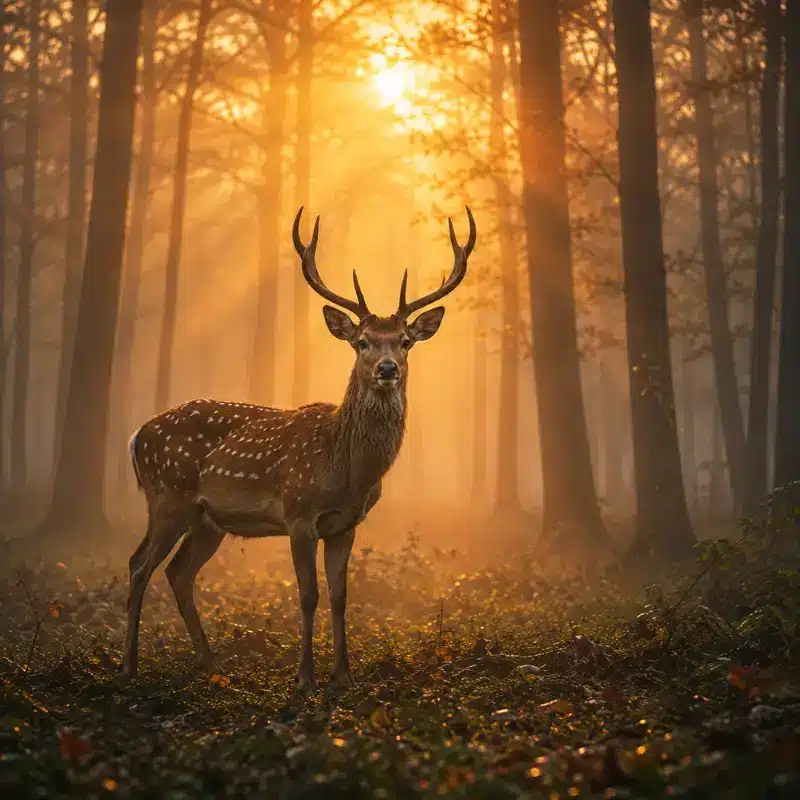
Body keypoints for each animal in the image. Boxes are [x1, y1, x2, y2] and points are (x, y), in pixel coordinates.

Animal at [121, 206, 476, 690]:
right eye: (361, 342)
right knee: (139, 564)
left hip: (207, 518)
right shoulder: (298, 513)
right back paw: (129, 667)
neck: (348, 469)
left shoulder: (346, 524)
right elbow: (308, 594)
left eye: (405, 341)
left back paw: (214, 668)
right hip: (167, 497)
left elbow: (341, 595)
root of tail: (137, 435)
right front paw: (305, 677)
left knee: (179, 572)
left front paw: (344, 675)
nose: (387, 368)